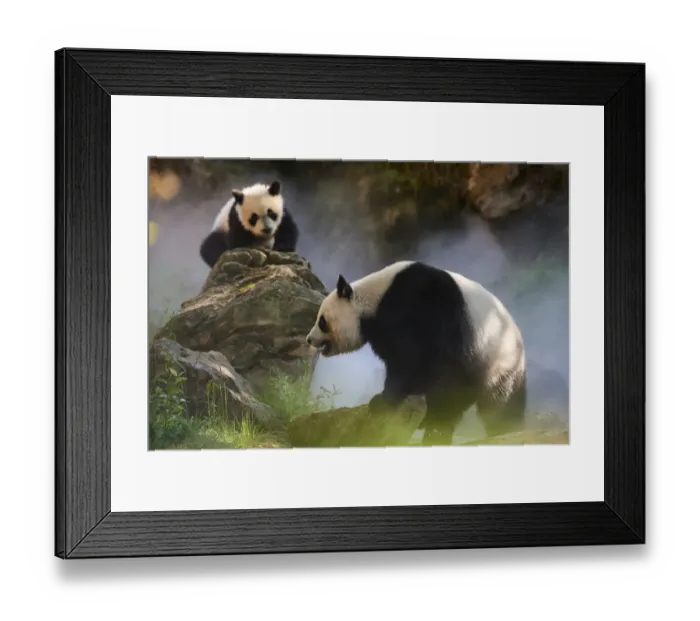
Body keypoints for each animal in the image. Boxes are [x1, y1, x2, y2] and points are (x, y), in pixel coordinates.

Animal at [305, 260, 527, 445]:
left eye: (322, 321)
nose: (309, 339)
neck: (375, 299)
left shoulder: (418, 308)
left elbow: (411, 361)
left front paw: (382, 400)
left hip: (498, 363)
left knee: (492, 404)